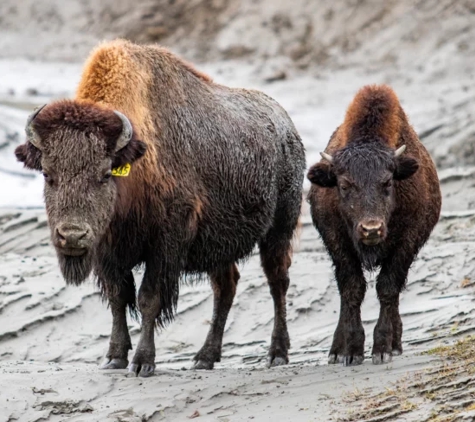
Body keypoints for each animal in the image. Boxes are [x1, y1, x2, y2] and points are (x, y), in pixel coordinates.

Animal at [14, 39, 306, 376]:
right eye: (48, 174)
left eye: (105, 174)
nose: (72, 236)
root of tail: (288, 129)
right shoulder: (108, 252)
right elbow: (118, 297)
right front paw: (114, 358)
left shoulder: (166, 244)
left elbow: (148, 298)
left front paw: (142, 362)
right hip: (220, 245)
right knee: (226, 287)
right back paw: (205, 357)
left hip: (279, 229)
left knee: (277, 281)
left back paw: (277, 353)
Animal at [308, 85, 442, 366]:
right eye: (344, 185)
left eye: (388, 182)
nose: (371, 229)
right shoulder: (338, 243)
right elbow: (352, 288)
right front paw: (350, 352)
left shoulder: (407, 242)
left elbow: (387, 287)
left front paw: (382, 349)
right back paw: (336, 351)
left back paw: (396, 344)